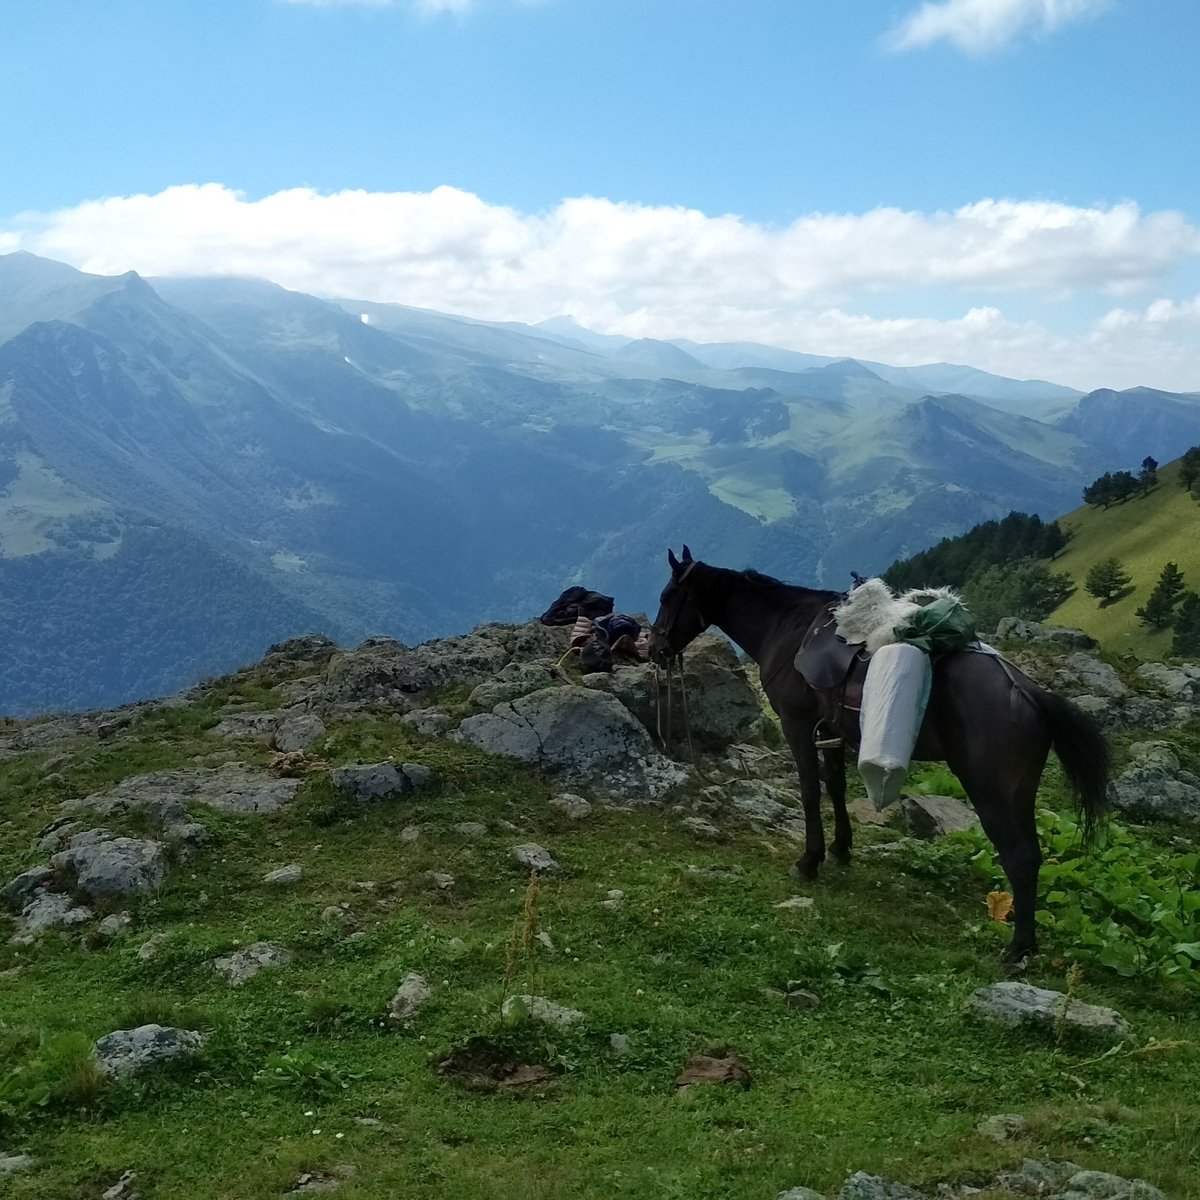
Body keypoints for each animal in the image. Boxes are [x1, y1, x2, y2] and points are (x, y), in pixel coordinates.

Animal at [652, 547, 1108, 964]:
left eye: (666, 596)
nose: (656, 649)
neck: (786, 629)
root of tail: (1026, 691)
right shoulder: (830, 733)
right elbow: (835, 787)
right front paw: (840, 849)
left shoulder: (798, 727)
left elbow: (810, 793)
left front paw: (809, 860)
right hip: (1020, 792)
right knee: (1032, 853)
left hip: (989, 791)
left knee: (1019, 856)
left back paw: (1017, 948)